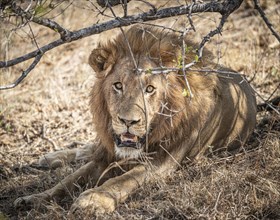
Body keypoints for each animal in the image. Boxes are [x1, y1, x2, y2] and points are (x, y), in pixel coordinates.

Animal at [14, 24, 258, 216]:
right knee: (86, 150)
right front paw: (34, 199)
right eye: (118, 86)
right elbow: (69, 180)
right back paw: (49, 158)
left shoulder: (162, 162)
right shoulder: (105, 155)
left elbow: (122, 180)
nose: (128, 122)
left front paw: (93, 201)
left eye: (150, 89)